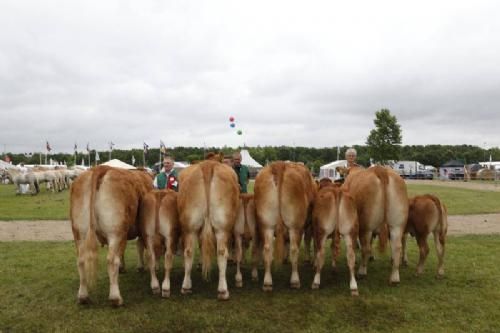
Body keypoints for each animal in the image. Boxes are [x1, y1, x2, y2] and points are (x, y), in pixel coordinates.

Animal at [70, 165, 152, 304]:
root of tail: (100, 168)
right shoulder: (138, 230)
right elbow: (139, 246)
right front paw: (140, 267)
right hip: (116, 231)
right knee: (112, 260)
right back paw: (115, 298)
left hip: (79, 233)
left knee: (81, 260)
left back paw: (83, 297)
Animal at [177, 160, 239, 300]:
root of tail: (208, 165)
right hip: (223, 227)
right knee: (222, 252)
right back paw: (223, 291)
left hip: (190, 226)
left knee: (189, 252)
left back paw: (186, 287)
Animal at [254, 161, 316, 290]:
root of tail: (280, 164)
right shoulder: (305, 227)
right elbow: (305, 241)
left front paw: (284, 258)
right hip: (295, 226)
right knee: (294, 249)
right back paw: (295, 281)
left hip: (266, 224)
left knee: (267, 249)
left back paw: (267, 282)